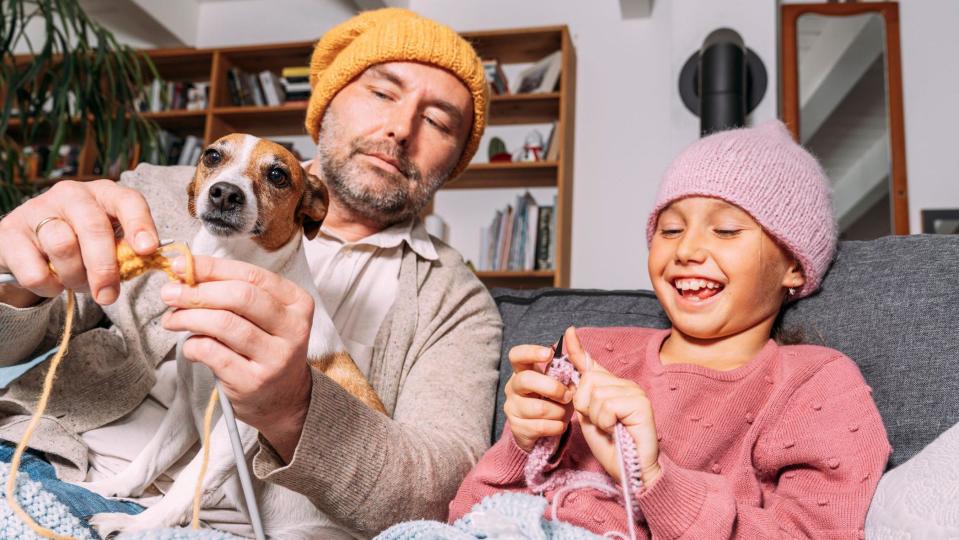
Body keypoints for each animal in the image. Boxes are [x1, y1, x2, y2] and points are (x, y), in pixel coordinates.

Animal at [79, 133, 386, 536]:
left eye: (278, 175)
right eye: (212, 155)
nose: (225, 193)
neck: (230, 264)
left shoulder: (238, 427)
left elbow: (186, 484)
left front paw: (136, 526)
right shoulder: (186, 404)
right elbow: (150, 459)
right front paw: (110, 488)